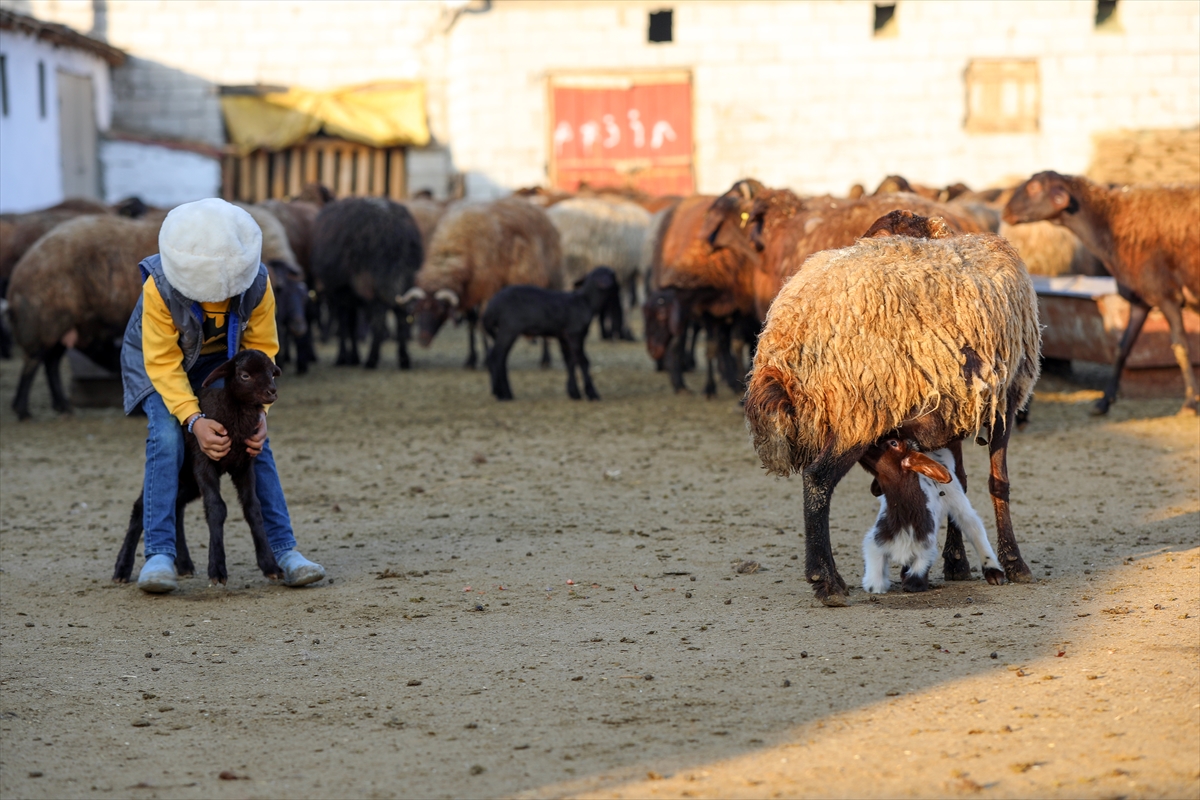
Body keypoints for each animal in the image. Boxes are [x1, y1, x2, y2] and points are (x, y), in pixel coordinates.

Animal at [396, 199, 559, 367]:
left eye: (440, 310)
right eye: (416, 310)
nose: (422, 341)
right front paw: (471, 359)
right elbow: (471, 324)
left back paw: (545, 359)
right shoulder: (470, 292)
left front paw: (487, 358)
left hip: (551, 279)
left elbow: (481, 324)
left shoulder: (487, 291)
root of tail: (535, 208)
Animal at [1003, 172, 1200, 417]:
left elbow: (1182, 348)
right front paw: (1104, 401)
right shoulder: (1141, 301)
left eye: (1035, 187)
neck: (1112, 223)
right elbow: (1122, 348)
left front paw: (1190, 402)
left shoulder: (1167, 297)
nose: (1005, 212)